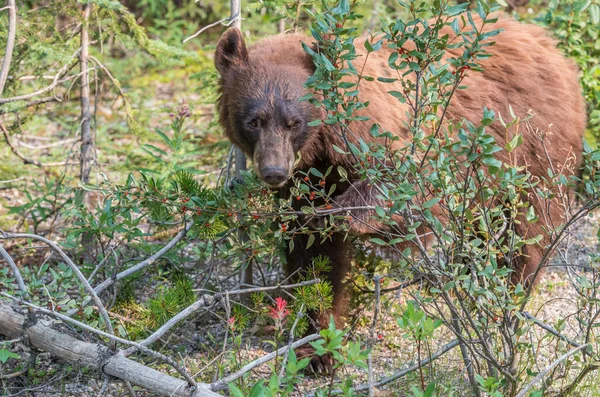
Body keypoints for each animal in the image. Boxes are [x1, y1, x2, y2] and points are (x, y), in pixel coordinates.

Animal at [214, 13, 584, 344]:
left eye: (294, 122)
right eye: (253, 121)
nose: (273, 172)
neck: (321, 149)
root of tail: (552, 48)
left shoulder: (381, 135)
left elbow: (403, 184)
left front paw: (334, 216)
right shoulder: (306, 179)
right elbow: (312, 257)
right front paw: (317, 343)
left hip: (532, 148)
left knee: (526, 228)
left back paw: (509, 293)